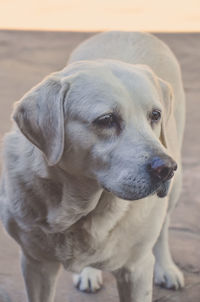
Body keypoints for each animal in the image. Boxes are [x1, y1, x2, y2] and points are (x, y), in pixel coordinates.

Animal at [0, 31, 185, 300]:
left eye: (155, 115)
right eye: (106, 120)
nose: (167, 168)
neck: (81, 212)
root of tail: (131, 31)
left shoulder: (136, 269)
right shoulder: (36, 263)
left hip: (173, 187)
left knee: (162, 228)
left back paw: (167, 268)